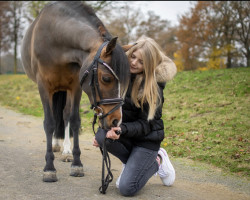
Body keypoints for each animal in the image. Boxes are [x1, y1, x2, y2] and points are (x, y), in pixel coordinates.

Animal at [21, 1, 131, 182]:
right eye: (106, 78)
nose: (116, 121)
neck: (56, 37)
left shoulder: (76, 86)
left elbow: (74, 120)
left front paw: (77, 164)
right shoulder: (44, 87)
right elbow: (49, 123)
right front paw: (49, 168)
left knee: (64, 115)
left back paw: (65, 150)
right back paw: (55, 145)